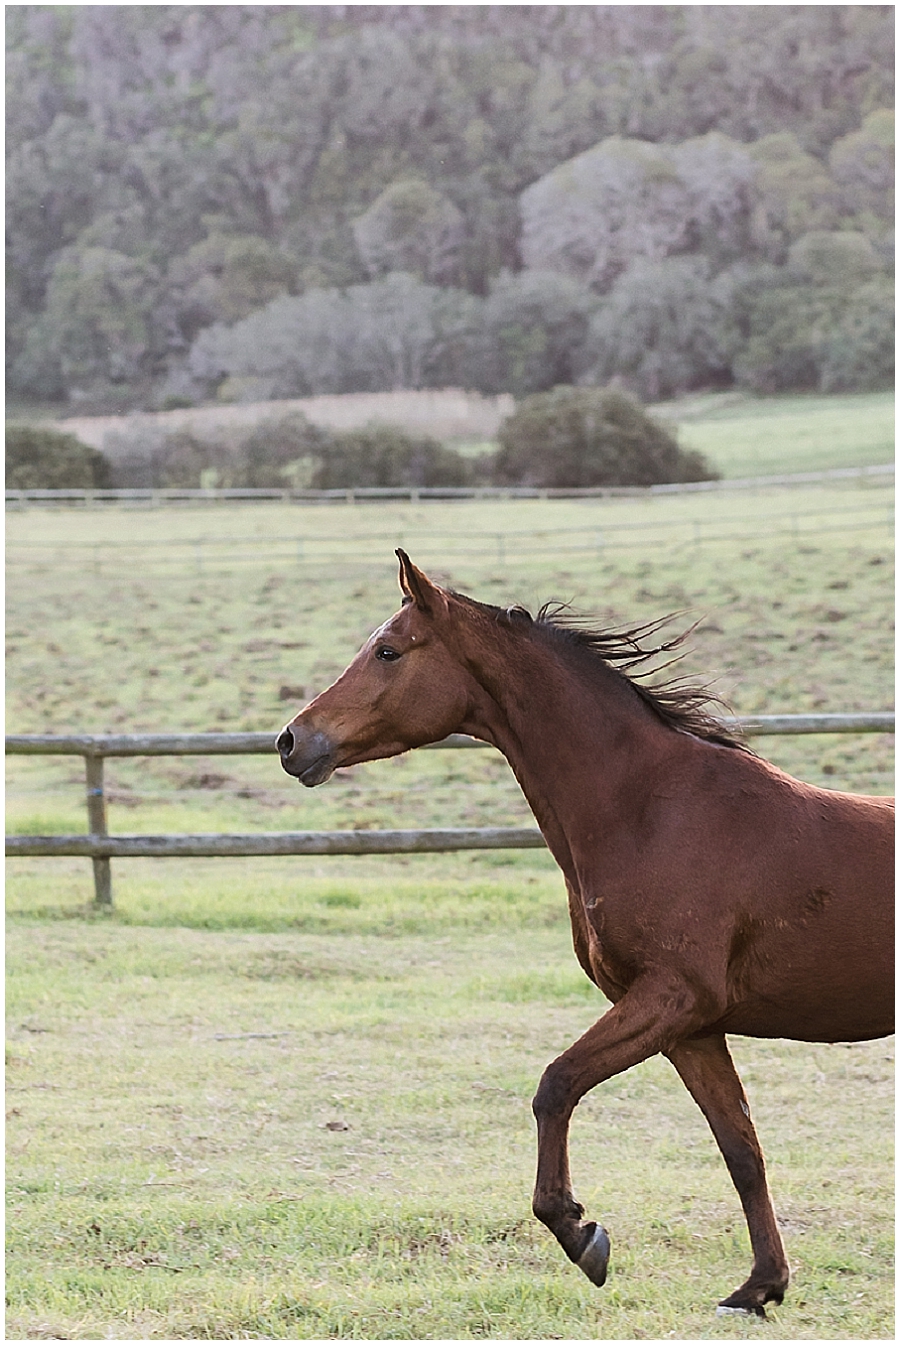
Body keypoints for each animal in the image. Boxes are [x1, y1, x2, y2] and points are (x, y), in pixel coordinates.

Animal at [277, 550, 894, 1316]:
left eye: (388, 650)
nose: (292, 741)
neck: (650, 810)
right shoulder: (690, 1027)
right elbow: (741, 1149)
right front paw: (760, 1286)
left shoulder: (670, 997)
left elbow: (556, 1084)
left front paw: (580, 1234)